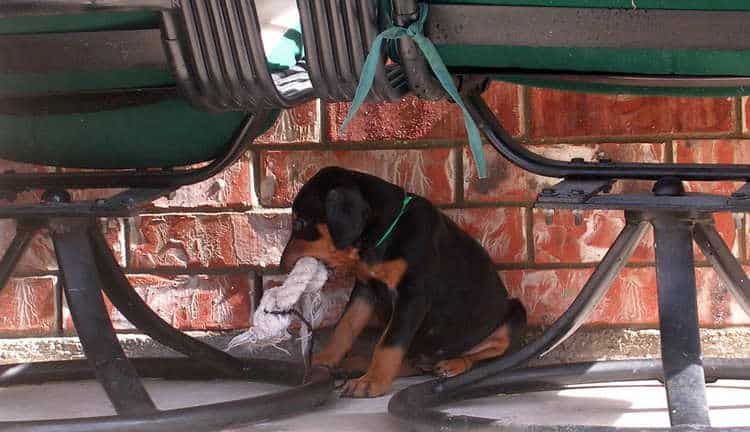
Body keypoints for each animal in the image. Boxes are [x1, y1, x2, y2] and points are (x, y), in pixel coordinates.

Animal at [282, 166, 528, 398]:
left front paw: (371, 382)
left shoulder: (412, 296)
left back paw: (454, 364)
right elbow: (346, 326)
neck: (384, 237)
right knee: (412, 362)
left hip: (514, 313)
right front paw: (324, 360)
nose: (282, 266)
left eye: (301, 222)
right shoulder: (365, 290)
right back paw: (356, 364)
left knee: (487, 356)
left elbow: (389, 343)